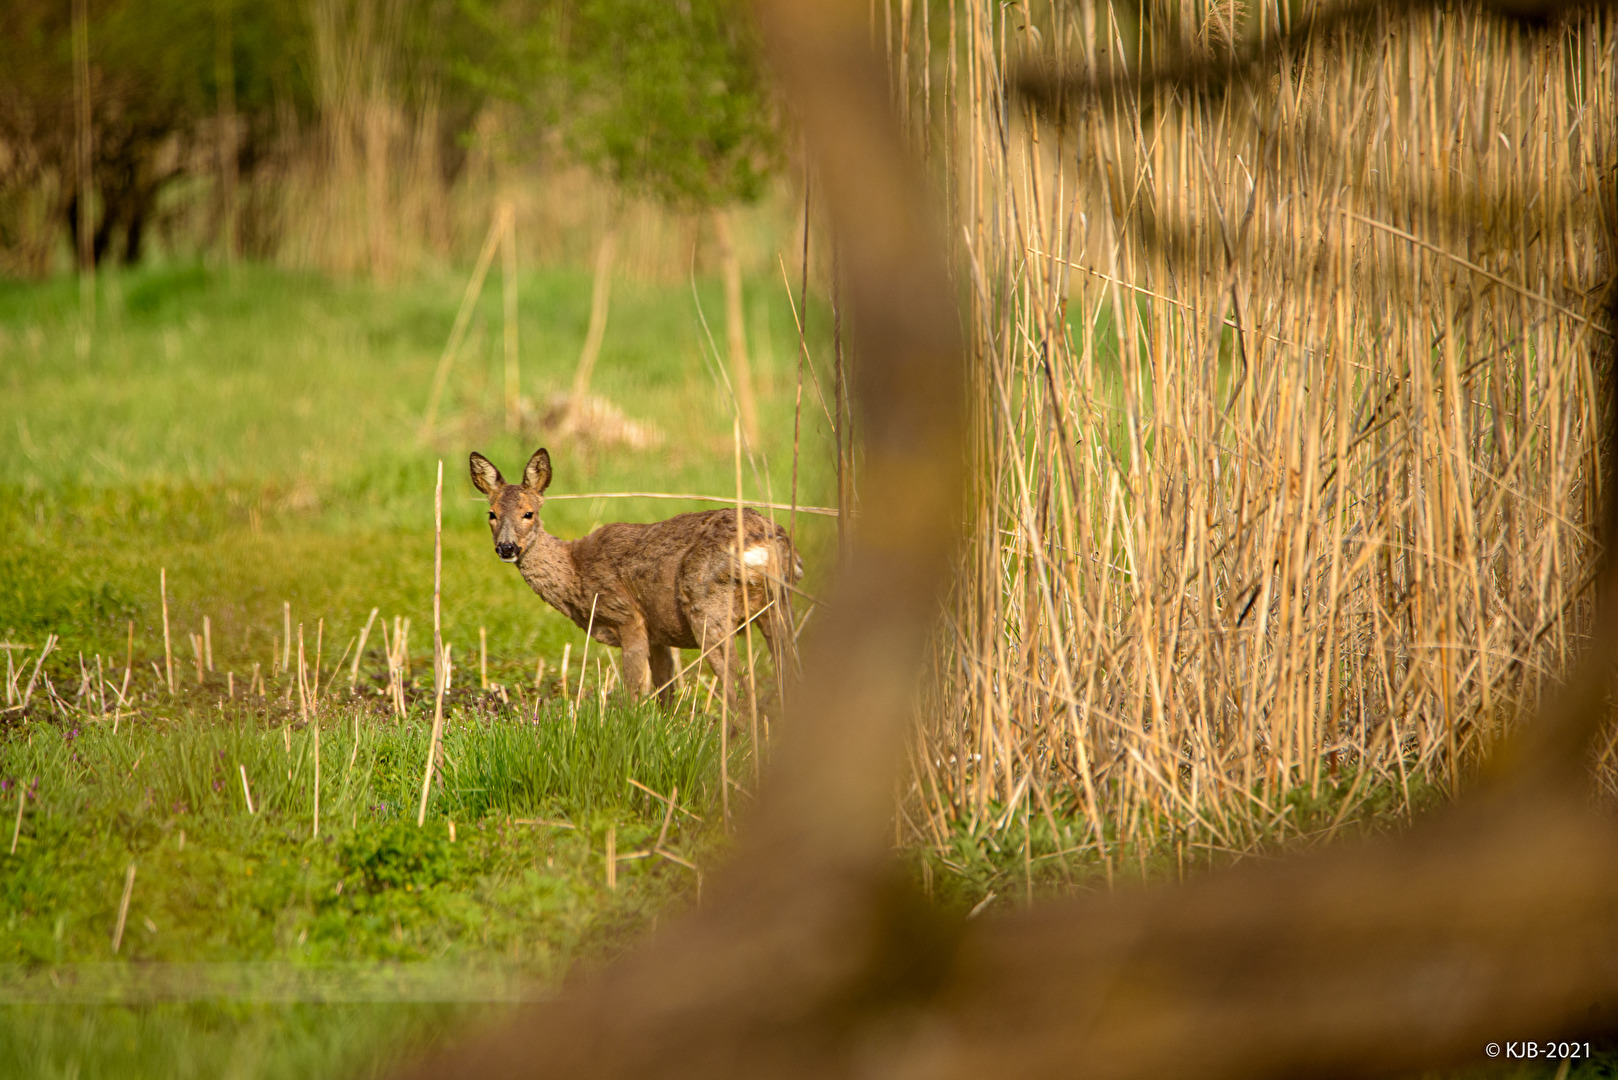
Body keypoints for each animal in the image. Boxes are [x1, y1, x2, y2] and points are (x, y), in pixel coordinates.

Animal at [469, 446, 802, 709]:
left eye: (529, 513)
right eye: (491, 514)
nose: (507, 547)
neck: (576, 573)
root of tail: (768, 542)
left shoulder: (628, 617)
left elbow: (634, 696)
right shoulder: (659, 634)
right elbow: (665, 696)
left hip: (707, 609)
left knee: (739, 688)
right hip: (778, 606)